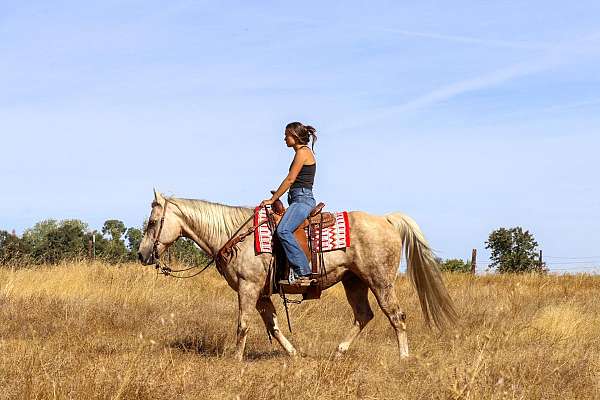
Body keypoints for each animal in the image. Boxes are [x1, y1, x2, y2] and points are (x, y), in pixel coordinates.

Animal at [138, 189, 458, 360]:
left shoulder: (248, 288)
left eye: (152, 222)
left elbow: (243, 325)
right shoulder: (262, 294)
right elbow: (274, 326)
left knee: (396, 316)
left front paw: (235, 359)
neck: (235, 236)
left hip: (380, 281)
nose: (142, 254)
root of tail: (387, 220)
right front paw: (293, 355)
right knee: (363, 315)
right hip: (353, 282)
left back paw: (403, 357)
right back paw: (339, 351)